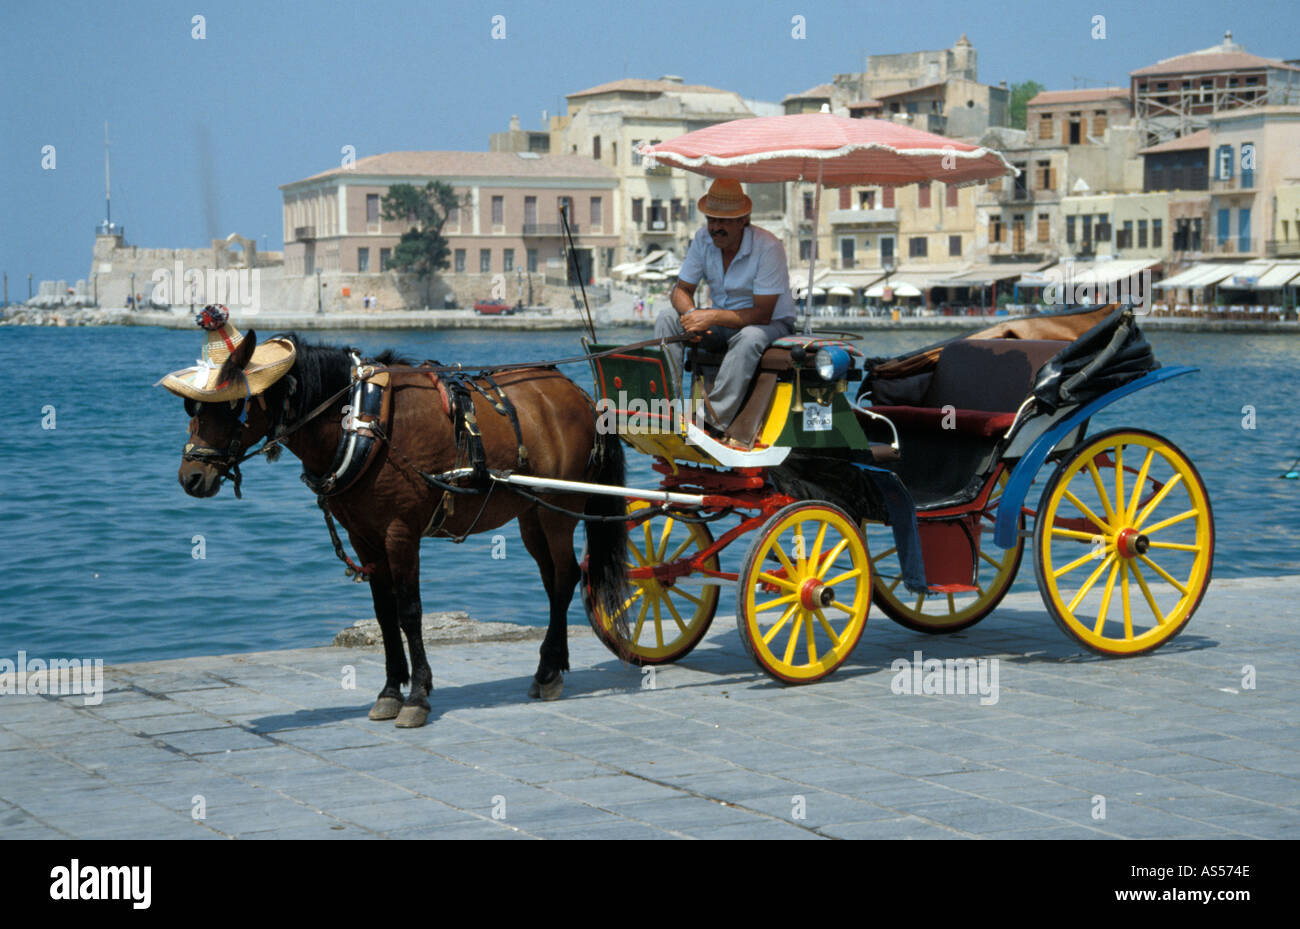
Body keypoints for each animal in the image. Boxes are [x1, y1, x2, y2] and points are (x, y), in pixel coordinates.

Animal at [175, 330, 631, 728]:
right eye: (192, 409)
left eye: (233, 405)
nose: (191, 476)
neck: (361, 420)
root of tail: (579, 393)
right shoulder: (365, 538)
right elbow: (383, 613)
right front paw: (391, 691)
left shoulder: (401, 534)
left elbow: (410, 612)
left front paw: (418, 697)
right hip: (531, 513)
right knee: (554, 581)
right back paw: (550, 667)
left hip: (559, 509)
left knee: (566, 576)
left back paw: (549, 670)